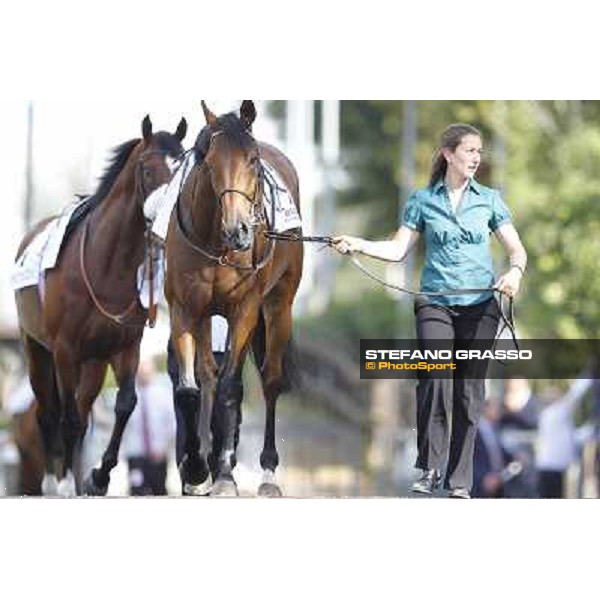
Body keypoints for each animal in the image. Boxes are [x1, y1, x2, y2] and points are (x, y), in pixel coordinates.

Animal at [14, 115, 188, 494]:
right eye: (147, 169)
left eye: (182, 168)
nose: (167, 222)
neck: (106, 265)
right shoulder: (64, 349)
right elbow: (66, 418)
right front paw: (67, 484)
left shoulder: (125, 346)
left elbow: (125, 405)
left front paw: (98, 476)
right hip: (37, 349)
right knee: (49, 413)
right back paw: (52, 483)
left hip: (93, 362)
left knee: (82, 413)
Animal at [165, 101, 302, 496]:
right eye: (208, 161)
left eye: (253, 161)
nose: (237, 230)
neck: (214, 244)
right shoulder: (185, 310)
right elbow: (190, 389)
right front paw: (196, 467)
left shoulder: (245, 310)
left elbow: (230, 385)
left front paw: (224, 473)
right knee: (208, 375)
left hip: (279, 306)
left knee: (270, 379)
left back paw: (267, 472)